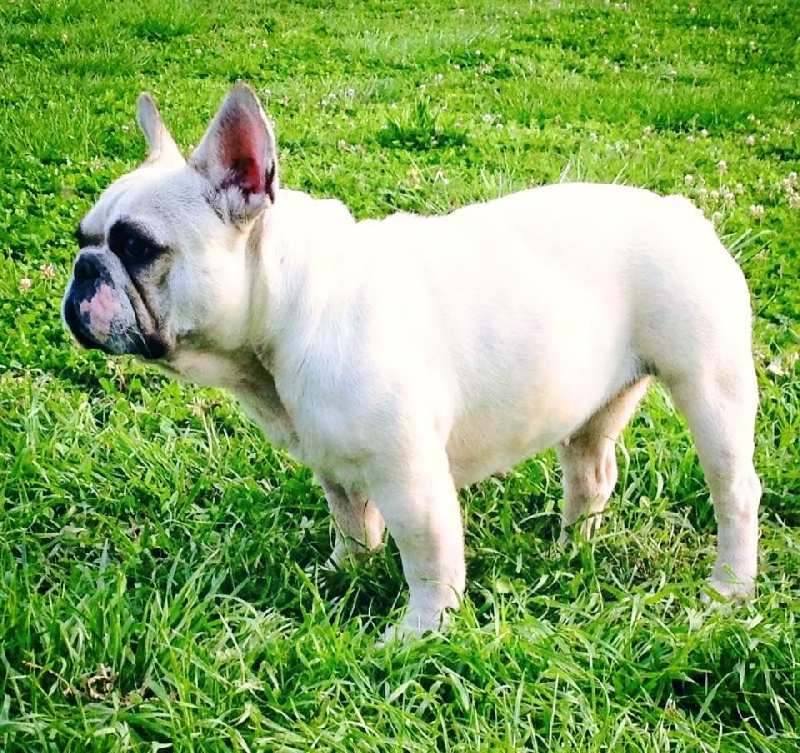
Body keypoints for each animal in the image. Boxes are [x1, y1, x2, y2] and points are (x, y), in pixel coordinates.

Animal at [63, 84, 761, 639]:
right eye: (83, 237)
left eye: (138, 247)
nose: (83, 269)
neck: (286, 310)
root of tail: (681, 209)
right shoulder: (334, 465)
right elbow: (352, 526)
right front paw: (342, 576)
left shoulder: (410, 478)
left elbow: (428, 559)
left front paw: (420, 633)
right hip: (594, 404)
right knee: (591, 475)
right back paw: (570, 554)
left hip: (710, 388)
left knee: (734, 491)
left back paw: (729, 588)